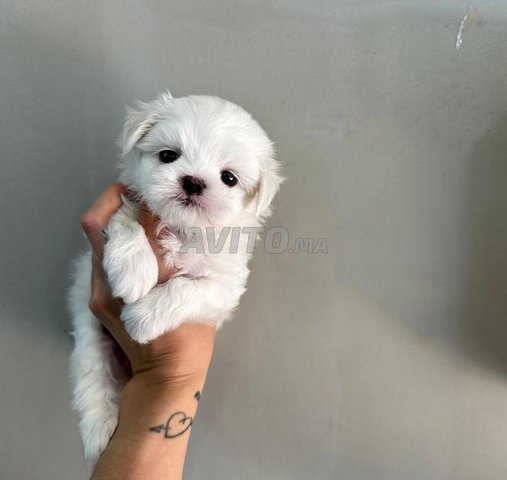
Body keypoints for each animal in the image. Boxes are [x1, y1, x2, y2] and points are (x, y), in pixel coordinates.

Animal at [68, 92, 282, 471]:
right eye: (168, 155)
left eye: (229, 178)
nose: (194, 181)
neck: (182, 229)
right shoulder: (122, 207)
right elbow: (127, 221)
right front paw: (134, 270)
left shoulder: (225, 285)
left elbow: (187, 288)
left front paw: (141, 319)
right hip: (91, 338)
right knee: (94, 382)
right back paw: (99, 434)